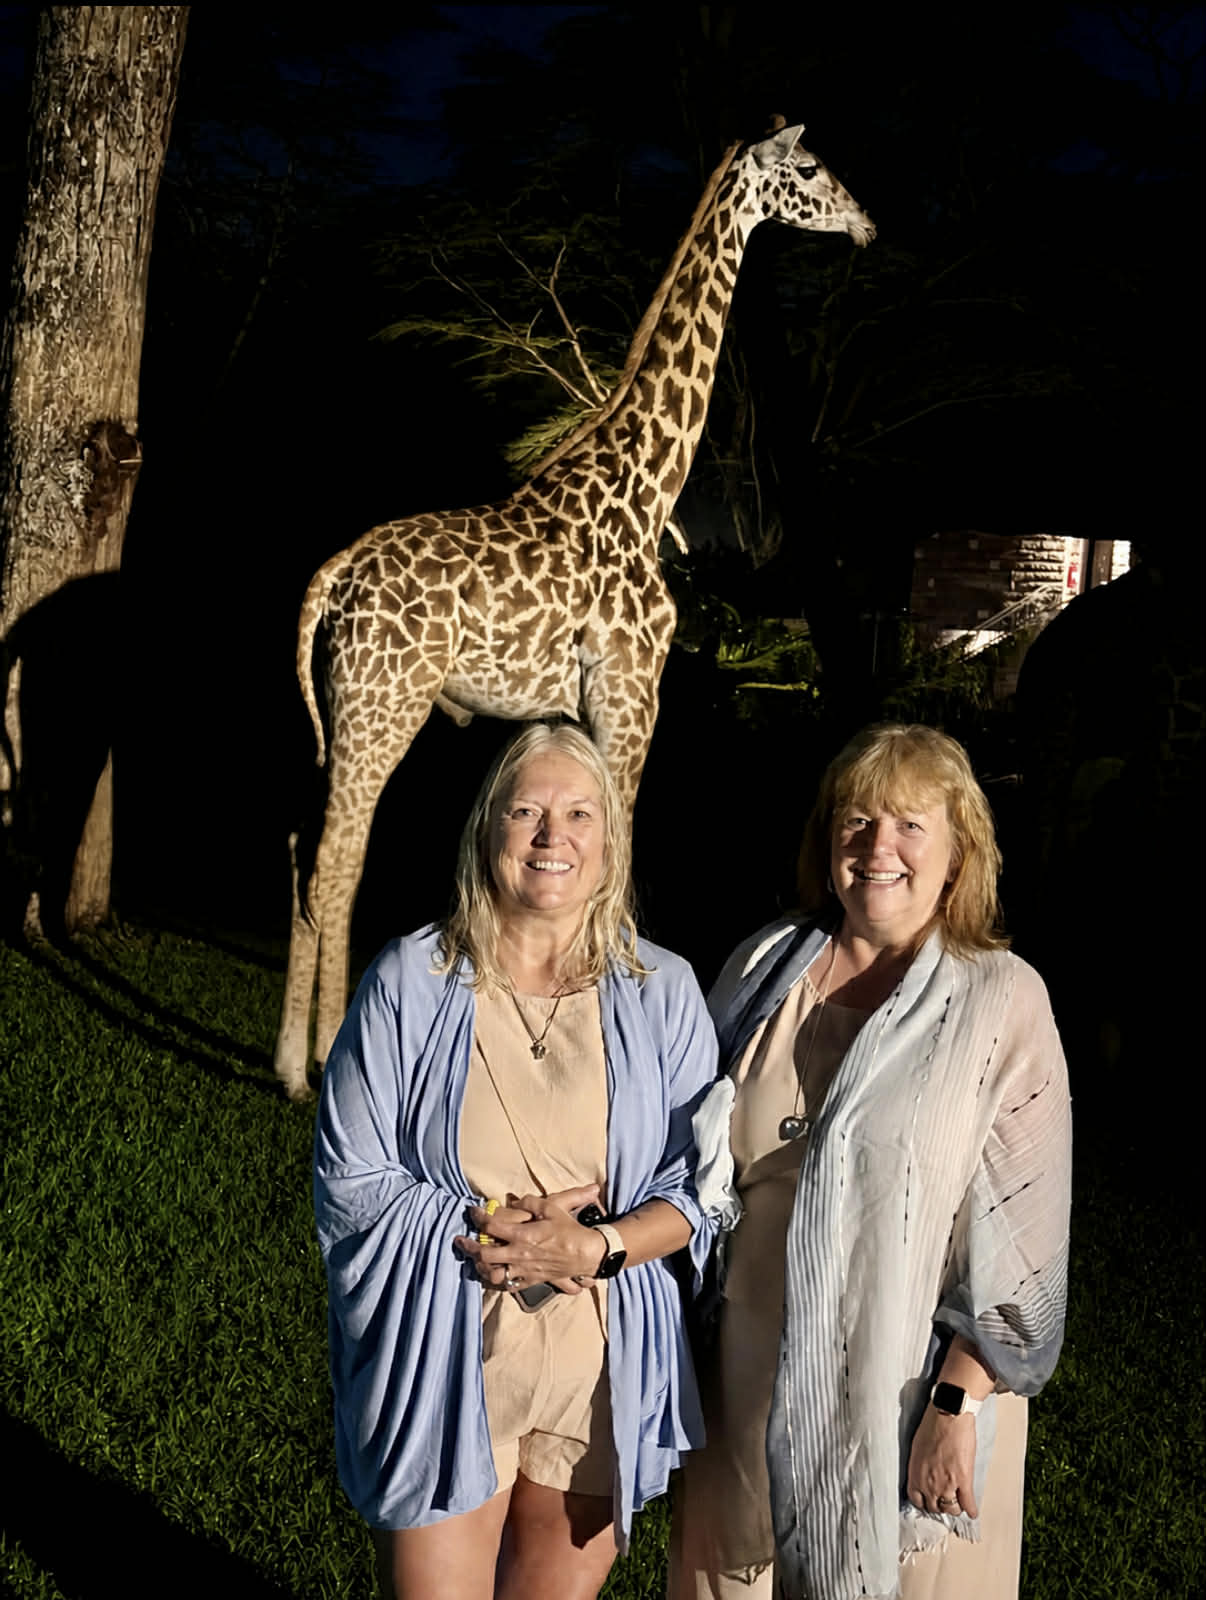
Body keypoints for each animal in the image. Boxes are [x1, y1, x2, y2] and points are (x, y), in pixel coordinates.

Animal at [274, 121, 874, 1098]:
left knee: (308, 852)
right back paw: (315, 1062)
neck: (647, 485)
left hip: (343, 710)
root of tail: (334, 578)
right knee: (333, 865)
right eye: (812, 169)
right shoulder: (633, 691)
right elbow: (621, 859)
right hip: (383, 703)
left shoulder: (582, 706)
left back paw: (295, 1051)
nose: (864, 224)